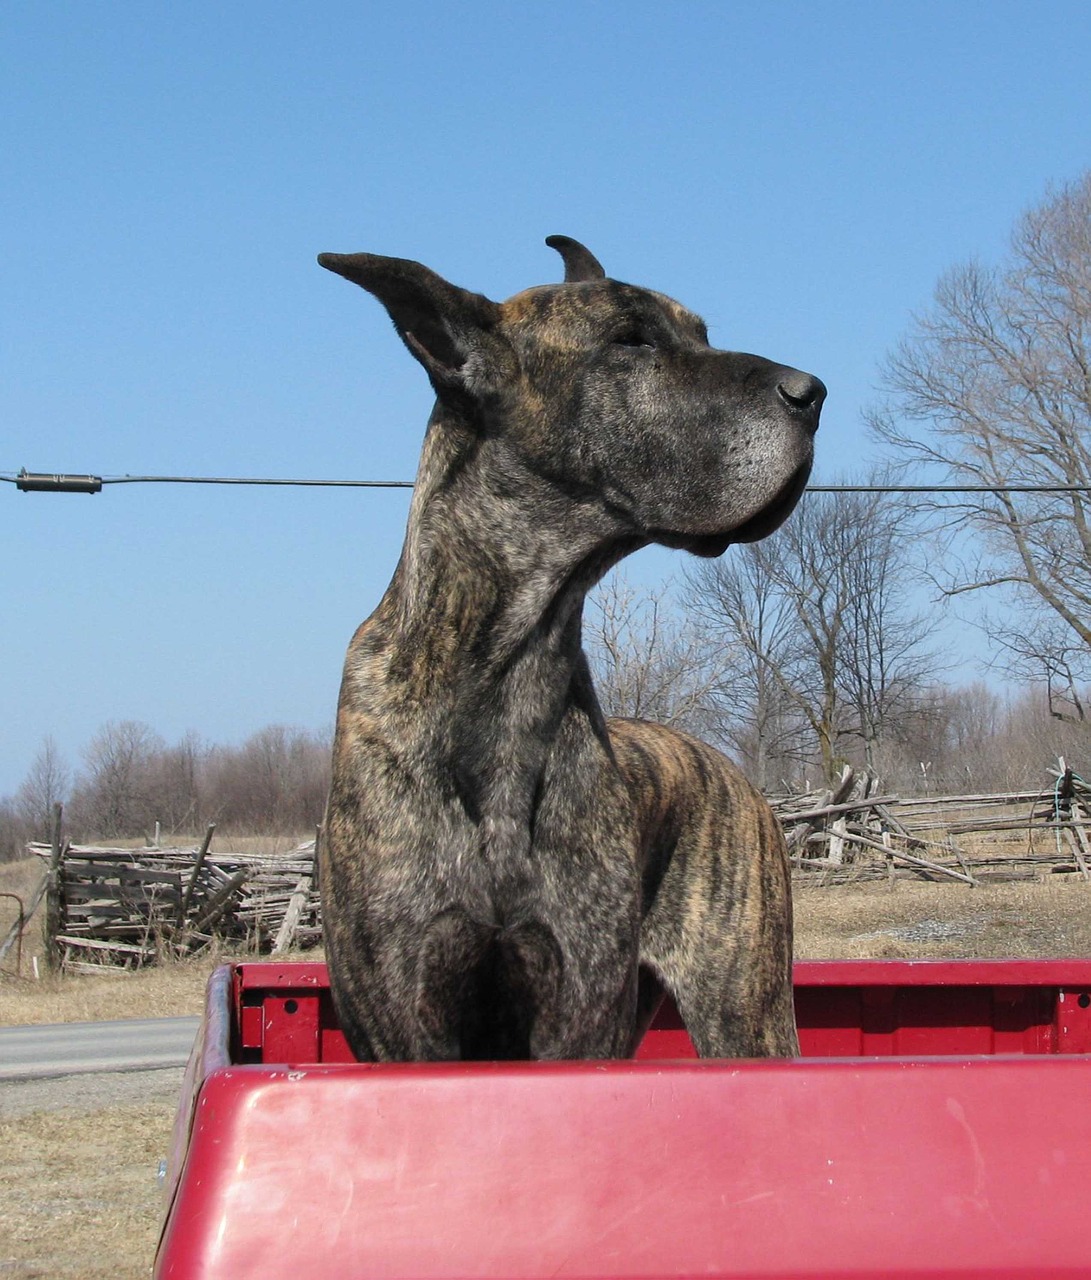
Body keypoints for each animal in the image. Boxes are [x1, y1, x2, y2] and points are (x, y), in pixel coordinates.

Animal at [320, 238, 824, 1059]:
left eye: (701, 334)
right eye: (630, 340)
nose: (812, 393)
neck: (511, 664)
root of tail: (727, 767)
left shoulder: (577, 1008)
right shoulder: (405, 1023)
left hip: (744, 1017)